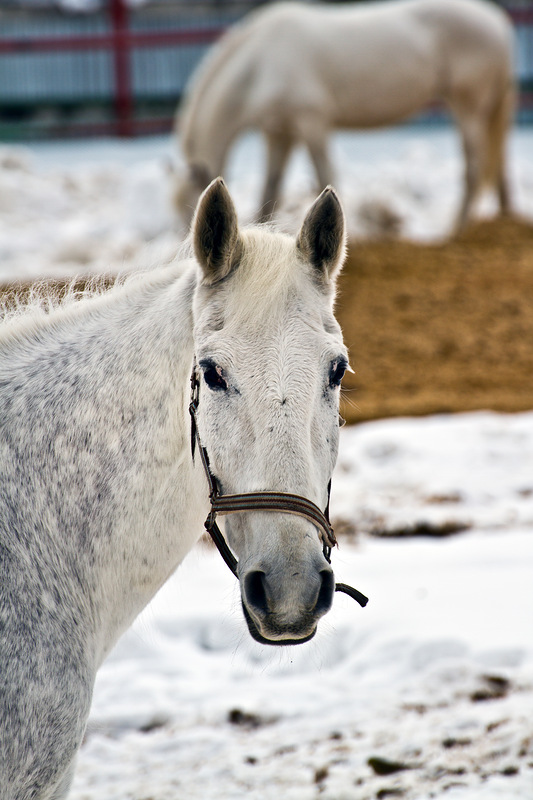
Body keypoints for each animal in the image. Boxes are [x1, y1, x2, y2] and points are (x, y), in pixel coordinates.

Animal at [175, 0, 516, 231]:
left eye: (193, 209)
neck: (261, 61)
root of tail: (497, 21)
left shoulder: (311, 123)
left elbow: (325, 177)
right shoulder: (280, 133)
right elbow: (270, 190)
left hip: (468, 108)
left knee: (474, 168)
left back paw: (456, 229)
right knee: (497, 163)